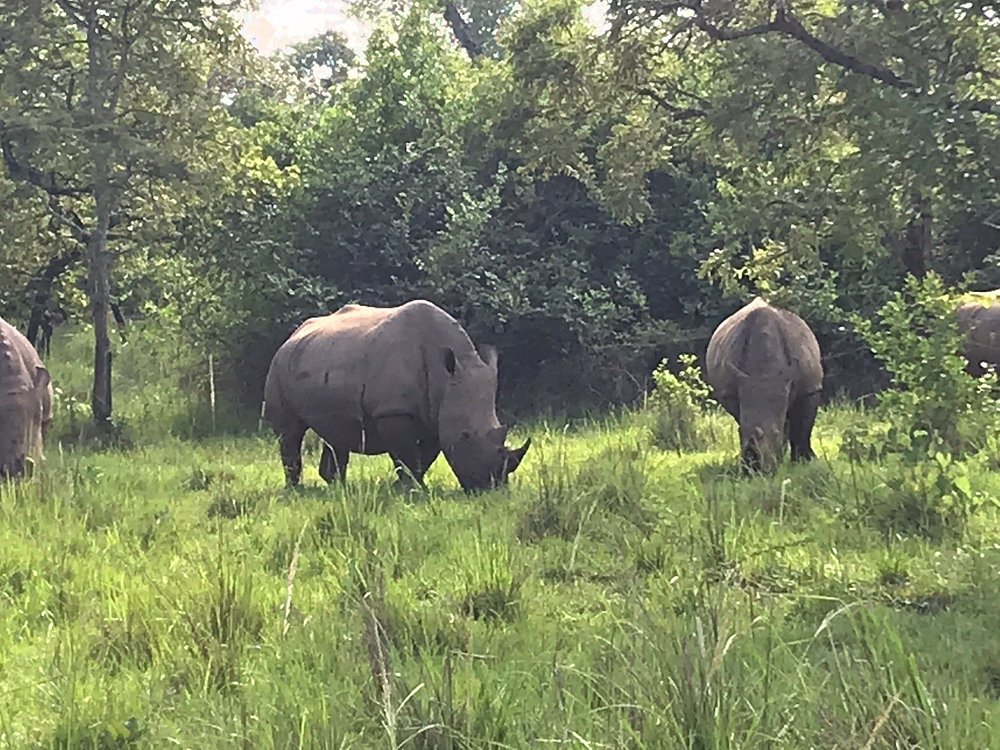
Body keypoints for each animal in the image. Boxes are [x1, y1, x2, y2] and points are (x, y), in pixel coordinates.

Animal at [262, 300, 531, 492]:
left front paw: (413, 486)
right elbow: (405, 454)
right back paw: (296, 489)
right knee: (290, 432)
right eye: (465, 435)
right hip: (278, 365)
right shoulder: (393, 411)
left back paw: (338, 487)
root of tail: (292, 335)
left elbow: (425, 455)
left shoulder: (435, 414)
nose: (490, 486)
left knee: (335, 432)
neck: (445, 376)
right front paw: (410, 489)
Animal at [705, 297, 823, 471]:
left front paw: (804, 461)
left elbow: (803, 427)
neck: (765, 372)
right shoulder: (733, 390)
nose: (757, 467)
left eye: (776, 433)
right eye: (740, 434)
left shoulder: (810, 389)